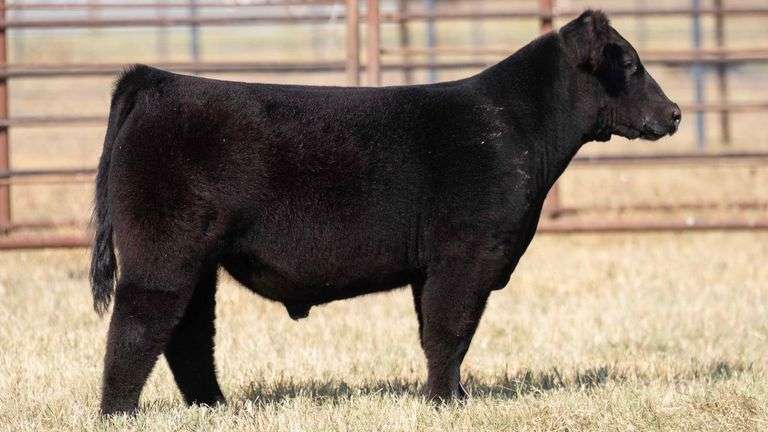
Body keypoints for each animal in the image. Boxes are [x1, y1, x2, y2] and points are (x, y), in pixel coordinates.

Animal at [90, 10, 680, 415]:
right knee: (139, 324)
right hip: (163, 251)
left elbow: (440, 333)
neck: (513, 127)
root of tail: (156, 80)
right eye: (629, 64)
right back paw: (119, 412)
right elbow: (449, 329)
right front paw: (443, 403)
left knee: (188, 332)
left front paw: (454, 397)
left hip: (196, 259)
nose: (674, 113)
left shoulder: (435, 267)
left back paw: (215, 407)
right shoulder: (466, 255)